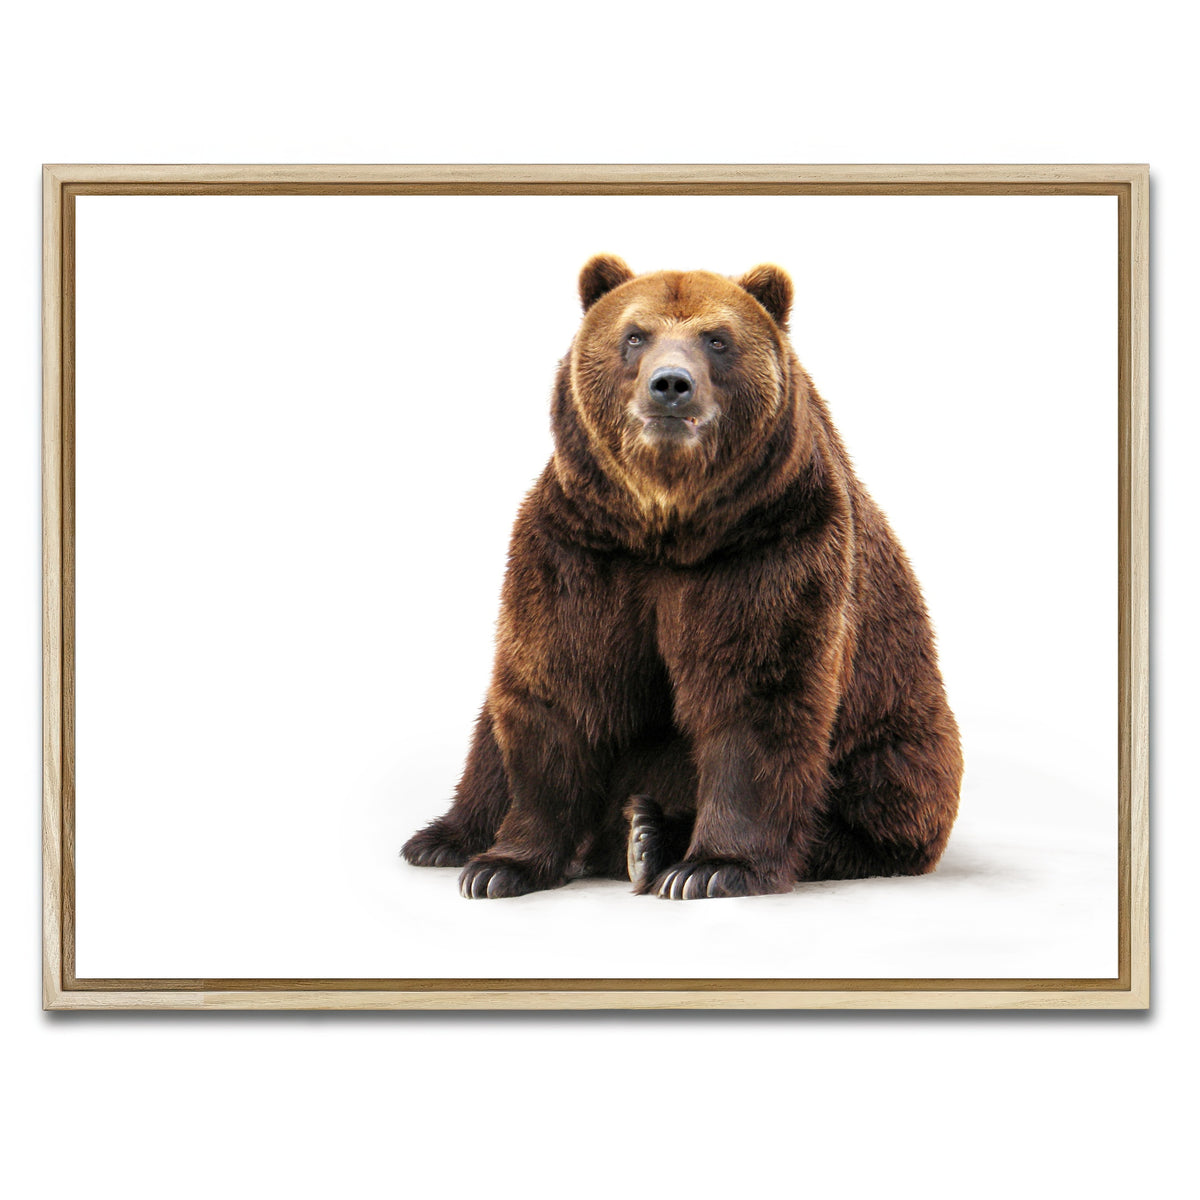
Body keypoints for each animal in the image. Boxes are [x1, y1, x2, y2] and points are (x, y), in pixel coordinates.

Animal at [402, 254, 963, 900]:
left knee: (875, 798)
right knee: (490, 736)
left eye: (717, 339)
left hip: (897, 734)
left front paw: (713, 866)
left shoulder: (770, 546)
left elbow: (755, 695)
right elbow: (559, 686)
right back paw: (445, 838)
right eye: (634, 335)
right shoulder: (581, 548)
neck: (668, 525)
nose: (670, 384)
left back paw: (650, 836)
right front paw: (501, 866)